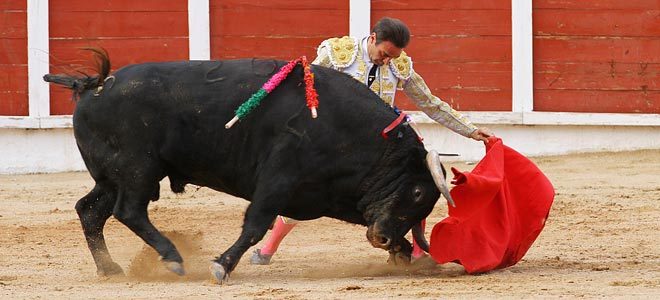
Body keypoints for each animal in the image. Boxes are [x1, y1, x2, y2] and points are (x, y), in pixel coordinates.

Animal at [42, 49, 454, 284]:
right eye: (418, 191)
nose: (380, 237)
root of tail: (93, 85)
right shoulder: (278, 179)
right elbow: (256, 225)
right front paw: (222, 266)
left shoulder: (327, 195)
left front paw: (404, 253)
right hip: (137, 171)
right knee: (128, 210)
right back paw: (173, 259)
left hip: (113, 176)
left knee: (90, 210)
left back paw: (110, 268)